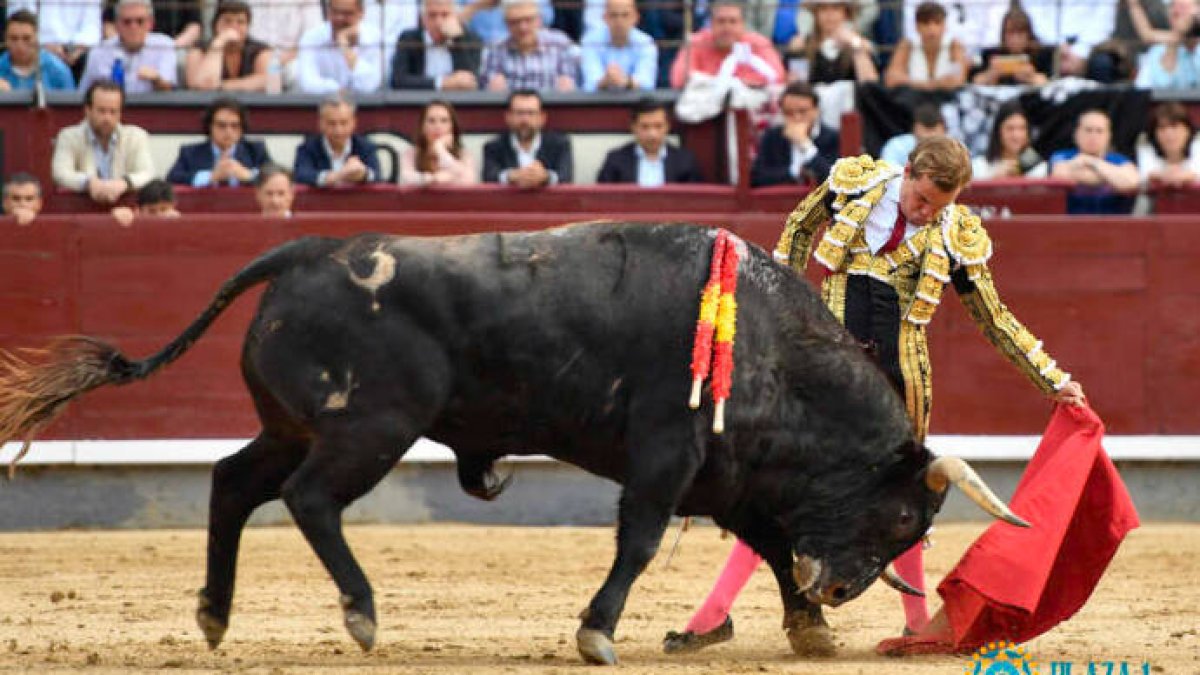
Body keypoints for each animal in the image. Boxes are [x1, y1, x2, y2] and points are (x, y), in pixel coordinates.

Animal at [0, 224, 1022, 662]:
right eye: (906, 514)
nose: (843, 587)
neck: (769, 343)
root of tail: (302, 251)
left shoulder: (727, 476)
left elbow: (769, 542)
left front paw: (808, 626)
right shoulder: (668, 459)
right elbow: (639, 543)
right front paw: (597, 631)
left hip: (293, 423)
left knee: (230, 482)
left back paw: (215, 614)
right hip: (369, 428)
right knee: (308, 499)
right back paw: (362, 613)